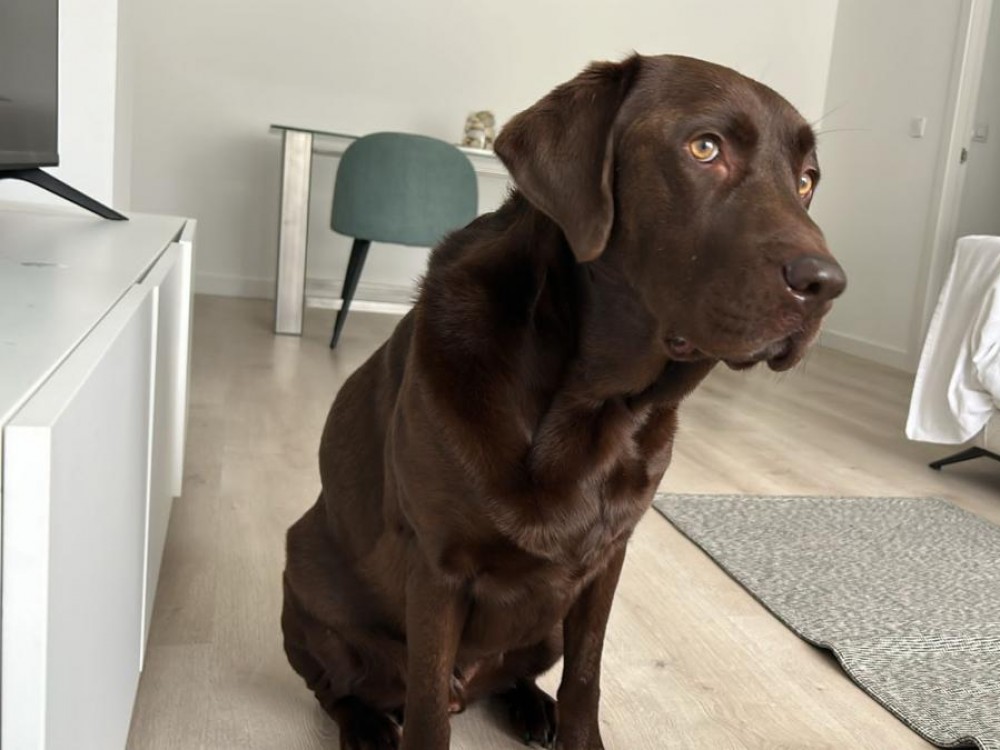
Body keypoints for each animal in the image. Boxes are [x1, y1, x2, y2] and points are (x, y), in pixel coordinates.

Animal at [282, 53, 846, 750]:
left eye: (807, 180)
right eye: (705, 147)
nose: (827, 285)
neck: (593, 406)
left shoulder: (606, 560)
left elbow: (585, 677)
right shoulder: (437, 568)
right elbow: (426, 711)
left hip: (545, 621)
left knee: (514, 675)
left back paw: (532, 706)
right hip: (307, 581)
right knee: (337, 687)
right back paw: (365, 727)